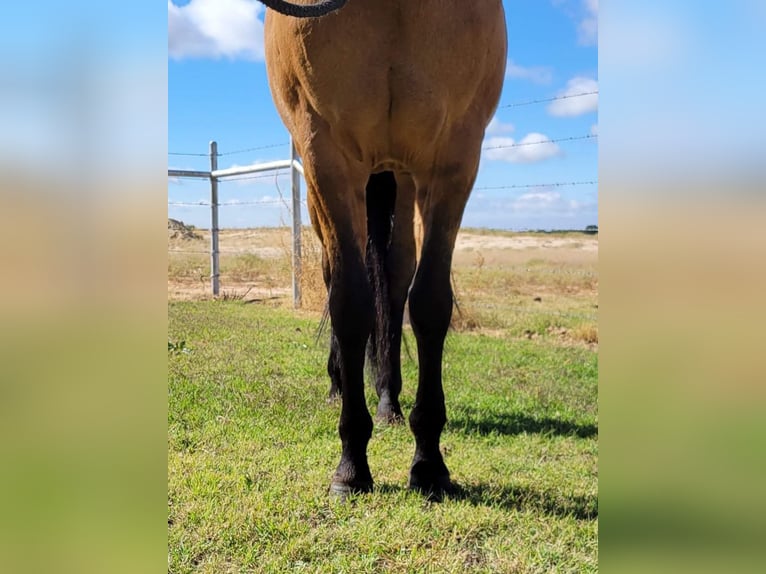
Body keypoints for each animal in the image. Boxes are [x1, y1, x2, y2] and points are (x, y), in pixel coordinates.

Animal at [260, 0, 508, 498]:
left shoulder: (455, 155)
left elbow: (429, 303)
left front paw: (429, 463)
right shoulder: (327, 155)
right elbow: (349, 304)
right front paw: (351, 465)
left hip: (402, 177)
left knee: (394, 278)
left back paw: (389, 400)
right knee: (333, 274)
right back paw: (339, 384)